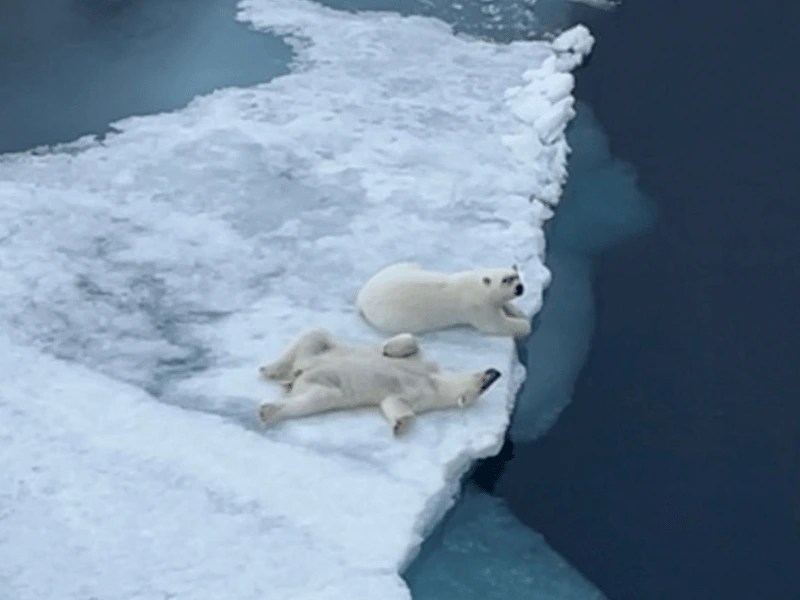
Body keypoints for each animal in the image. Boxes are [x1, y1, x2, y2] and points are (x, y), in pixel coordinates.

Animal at [257, 328, 502, 436]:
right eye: (485, 384)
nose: (496, 372)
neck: (436, 381)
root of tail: (298, 375)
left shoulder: (421, 396)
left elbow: (392, 403)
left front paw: (400, 424)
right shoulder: (426, 364)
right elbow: (412, 343)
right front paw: (388, 348)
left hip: (322, 384)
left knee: (319, 396)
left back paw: (268, 408)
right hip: (324, 353)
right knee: (316, 334)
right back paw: (270, 369)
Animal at [355, 262, 531, 338]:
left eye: (516, 276)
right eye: (505, 280)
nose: (520, 288)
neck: (477, 284)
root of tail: (361, 297)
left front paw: (519, 311)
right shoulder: (478, 307)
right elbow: (495, 325)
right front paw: (524, 325)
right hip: (391, 317)